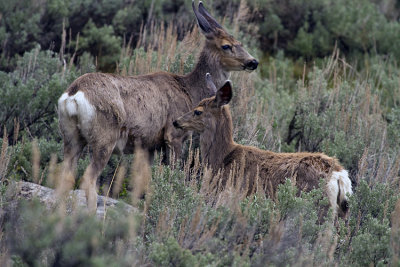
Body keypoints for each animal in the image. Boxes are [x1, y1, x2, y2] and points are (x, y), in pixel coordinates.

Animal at [56, 1, 258, 213]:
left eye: (240, 43)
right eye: (226, 45)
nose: (253, 61)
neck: (189, 90)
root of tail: (73, 95)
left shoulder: (148, 146)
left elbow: (141, 183)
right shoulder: (173, 135)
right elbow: (172, 175)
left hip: (71, 136)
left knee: (65, 176)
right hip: (104, 137)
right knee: (88, 178)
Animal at [174, 75, 354, 218]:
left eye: (198, 111)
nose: (176, 121)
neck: (222, 159)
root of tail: (339, 175)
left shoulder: (228, 194)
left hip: (319, 204)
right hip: (342, 210)